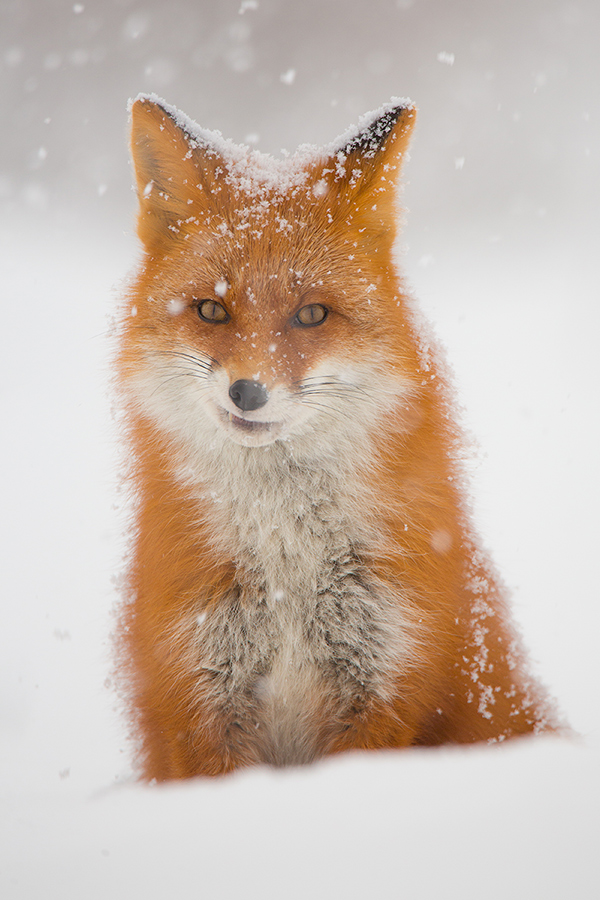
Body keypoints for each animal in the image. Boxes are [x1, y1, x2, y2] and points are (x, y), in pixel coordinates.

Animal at [116, 93, 556, 780]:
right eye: (211, 310)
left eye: (312, 315)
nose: (248, 392)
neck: (286, 571)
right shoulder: (198, 694)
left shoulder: (386, 679)